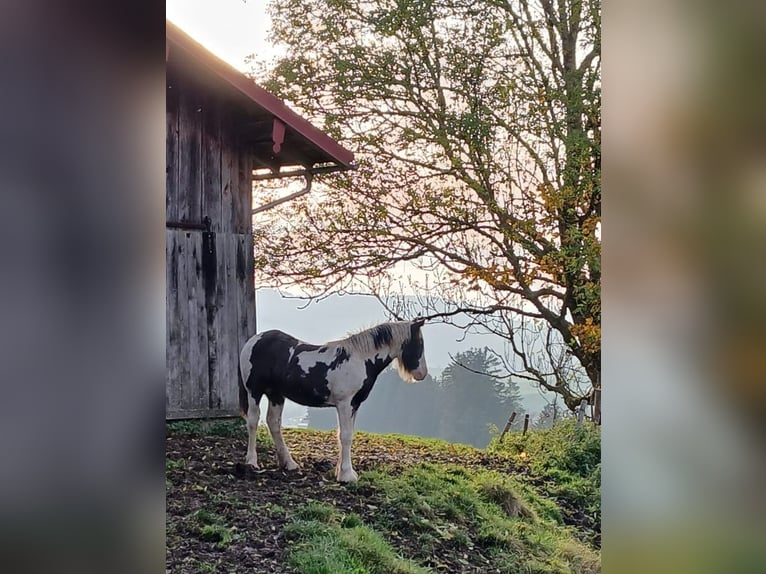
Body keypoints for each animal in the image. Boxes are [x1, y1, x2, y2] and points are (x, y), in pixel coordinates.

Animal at [238, 318, 428, 484]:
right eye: (419, 343)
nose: (422, 374)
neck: (360, 359)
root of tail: (252, 341)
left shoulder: (354, 405)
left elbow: (345, 435)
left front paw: (342, 472)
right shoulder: (345, 404)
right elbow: (345, 436)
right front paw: (346, 476)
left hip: (276, 394)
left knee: (273, 423)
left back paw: (289, 464)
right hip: (254, 392)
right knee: (253, 421)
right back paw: (252, 462)